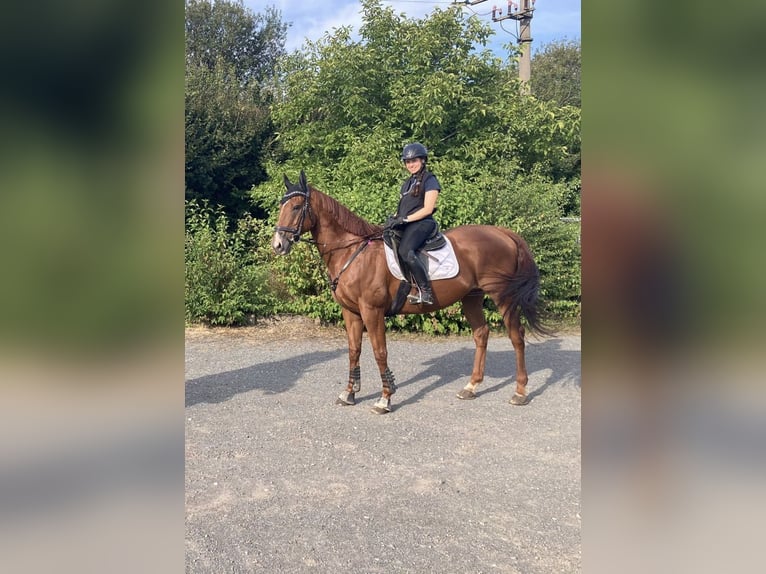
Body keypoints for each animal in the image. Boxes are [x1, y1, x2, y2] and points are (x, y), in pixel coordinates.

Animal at [272, 171, 548, 414]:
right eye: (282, 205)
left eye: (296, 207)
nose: (278, 245)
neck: (353, 252)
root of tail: (503, 233)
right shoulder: (351, 312)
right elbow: (354, 351)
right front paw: (349, 393)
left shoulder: (372, 312)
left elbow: (379, 352)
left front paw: (385, 399)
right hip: (472, 297)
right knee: (481, 334)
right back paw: (471, 387)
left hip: (503, 297)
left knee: (517, 336)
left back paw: (520, 392)